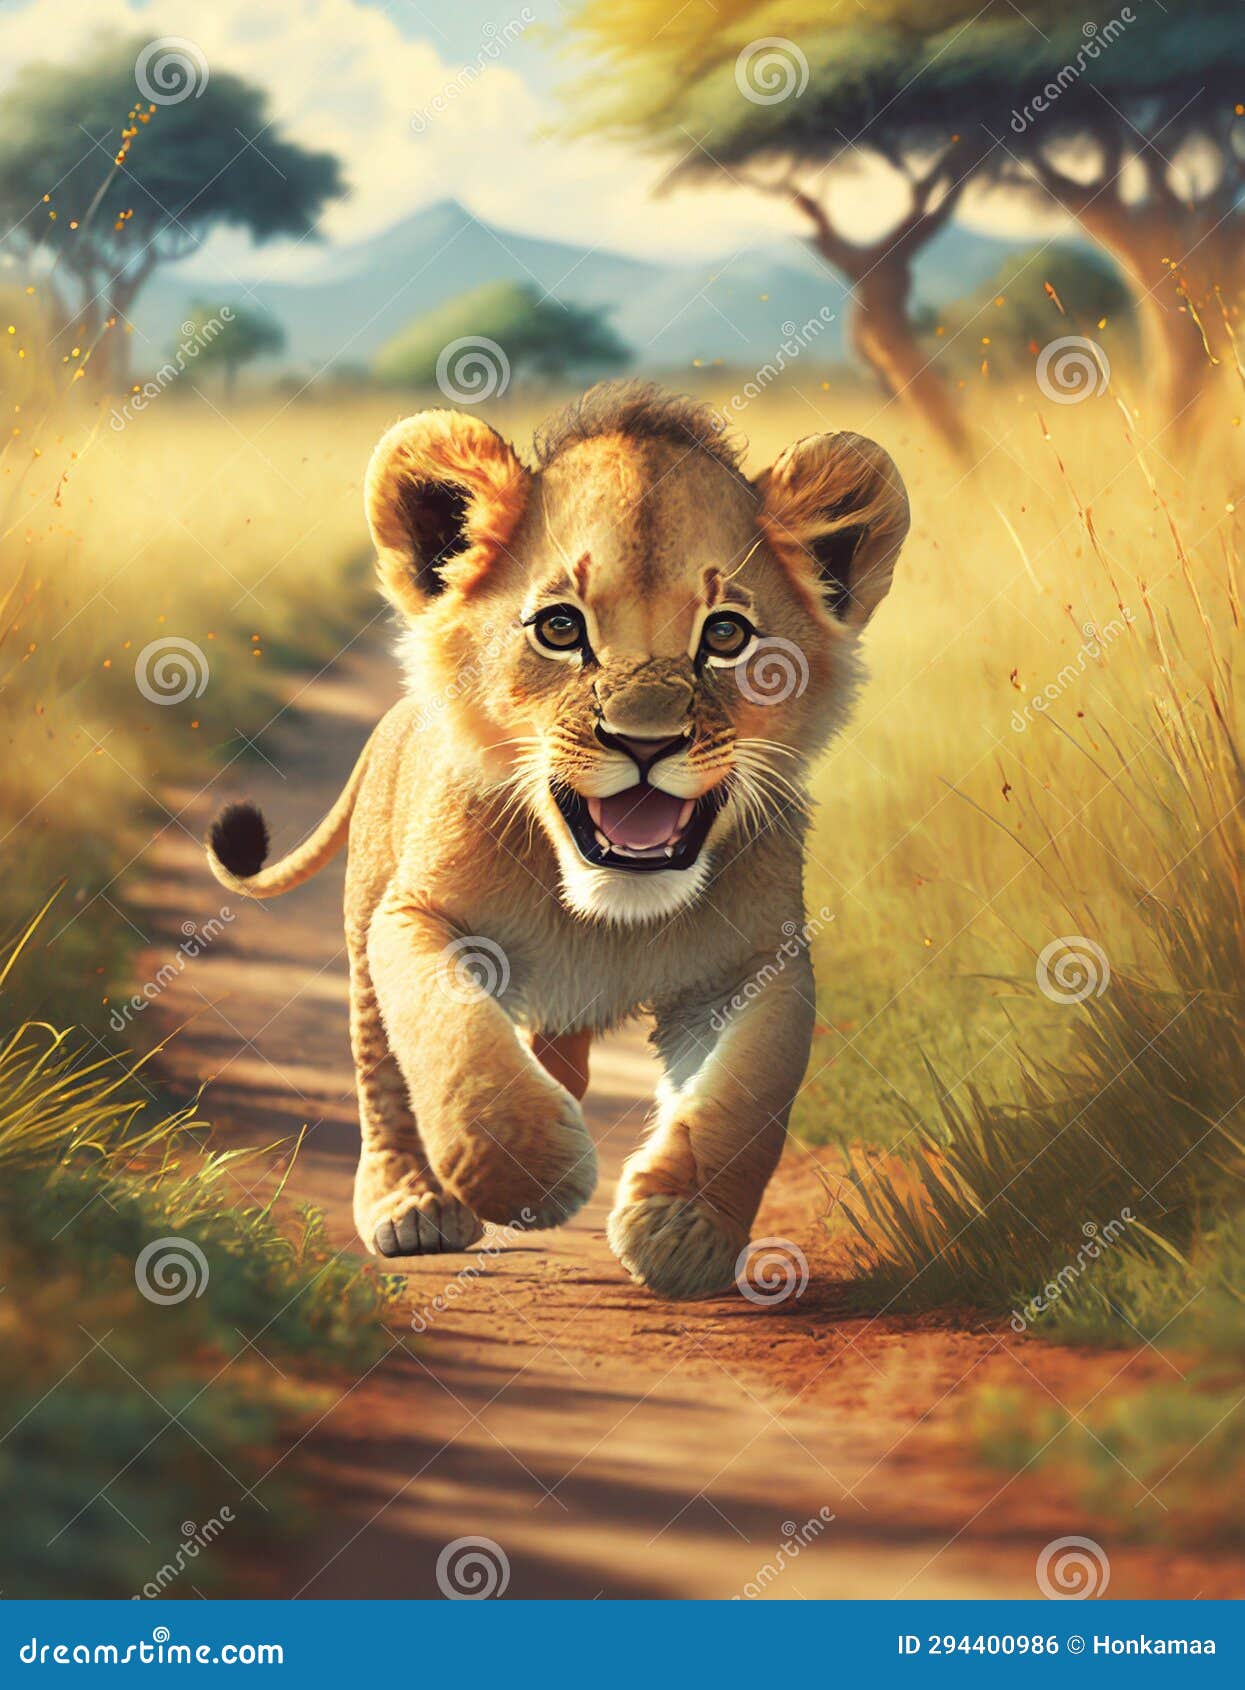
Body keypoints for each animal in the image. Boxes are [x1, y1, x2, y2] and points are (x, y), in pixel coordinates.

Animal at [206, 383, 909, 1300]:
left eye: (725, 636)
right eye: (559, 629)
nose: (645, 742)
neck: (602, 909)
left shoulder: (759, 962)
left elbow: (745, 1098)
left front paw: (682, 1231)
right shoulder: (416, 917)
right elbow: (457, 1045)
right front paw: (530, 1175)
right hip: (363, 930)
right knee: (382, 1070)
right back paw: (410, 1205)